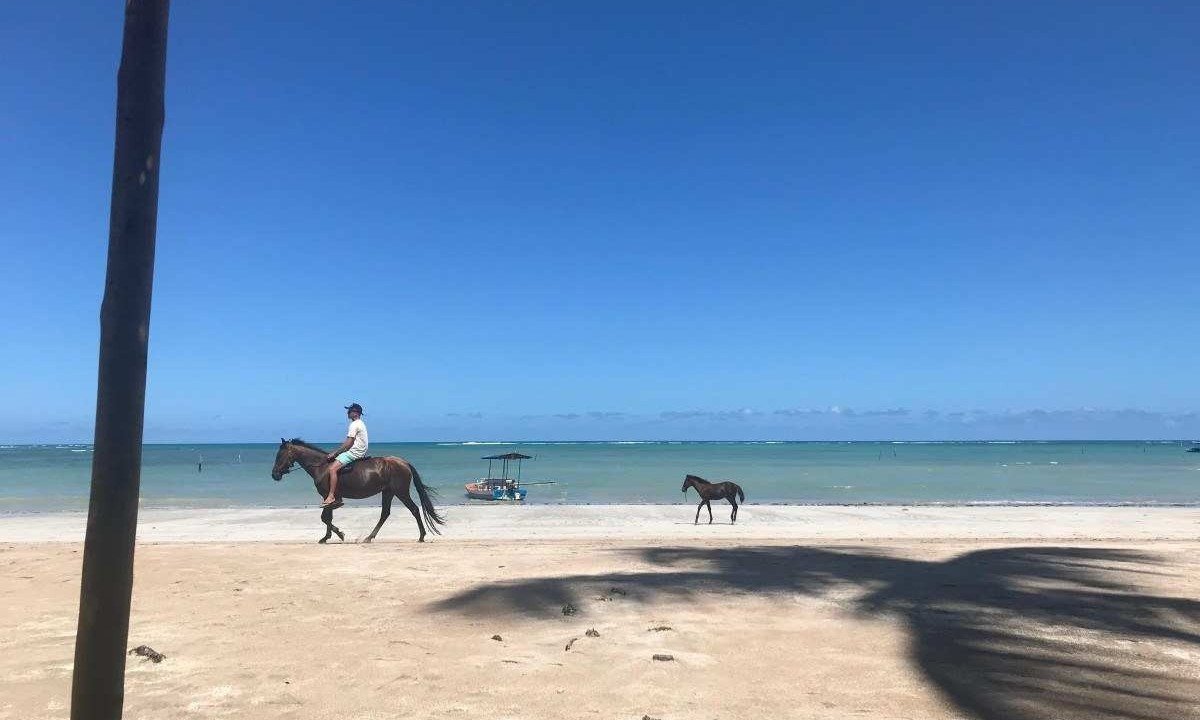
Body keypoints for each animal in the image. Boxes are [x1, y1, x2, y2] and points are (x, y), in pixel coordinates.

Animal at [270, 436, 448, 542]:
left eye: (280, 456)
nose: (274, 475)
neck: (322, 467)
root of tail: (403, 462)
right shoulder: (328, 498)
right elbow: (327, 517)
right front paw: (328, 537)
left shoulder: (329, 496)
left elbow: (325, 517)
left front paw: (338, 534)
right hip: (388, 492)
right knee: (385, 514)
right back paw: (370, 537)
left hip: (400, 492)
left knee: (414, 510)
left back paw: (421, 536)